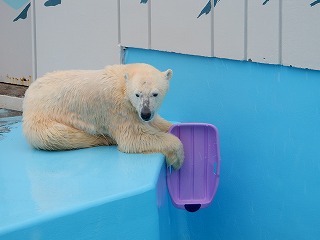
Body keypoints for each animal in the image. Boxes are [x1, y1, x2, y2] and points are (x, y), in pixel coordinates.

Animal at [23, 63, 185, 169]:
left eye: (155, 94)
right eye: (137, 94)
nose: (145, 114)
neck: (123, 80)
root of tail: (28, 97)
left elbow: (156, 122)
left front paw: (175, 126)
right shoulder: (118, 108)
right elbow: (133, 137)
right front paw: (177, 159)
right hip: (43, 118)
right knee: (58, 136)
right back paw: (103, 139)